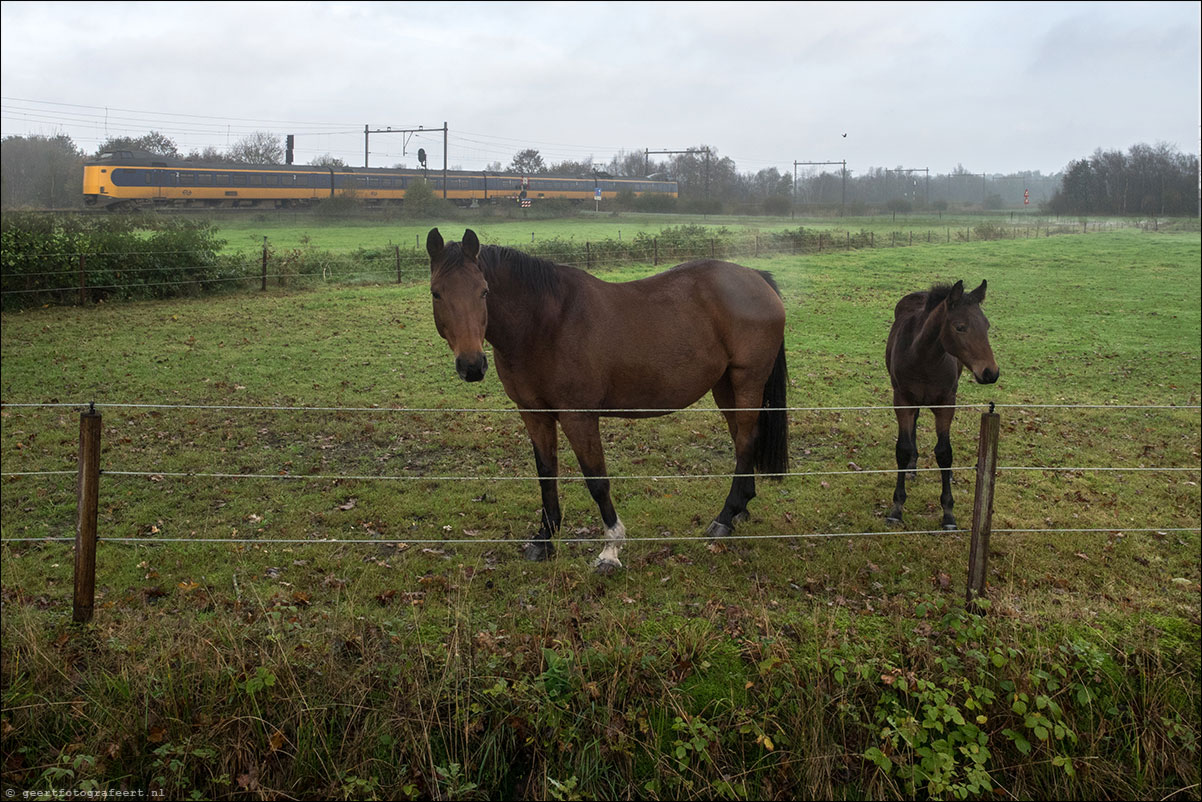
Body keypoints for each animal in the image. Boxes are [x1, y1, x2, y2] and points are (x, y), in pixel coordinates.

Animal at [425, 228, 788, 574]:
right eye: (436, 292)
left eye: (483, 291)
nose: (472, 365)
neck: (546, 322)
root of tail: (757, 278)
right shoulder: (534, 413)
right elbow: (546, 473)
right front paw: (544, 540)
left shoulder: (578, 416)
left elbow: (597, 480)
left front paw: (611, 549)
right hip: (725, 387)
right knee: (742, 441)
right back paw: (739, 509)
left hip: (747, 381)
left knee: (746, 441)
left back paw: (724, 519)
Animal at [889, 278, 1000, 529]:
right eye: (960, 327)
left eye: (987, 326)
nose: (990, 372)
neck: (923, 358)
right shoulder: (902, 401)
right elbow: (903, 448)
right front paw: (897, 507)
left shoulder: (946, 404)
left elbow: (944, 452)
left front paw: (948, 512)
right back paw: (912, 467)